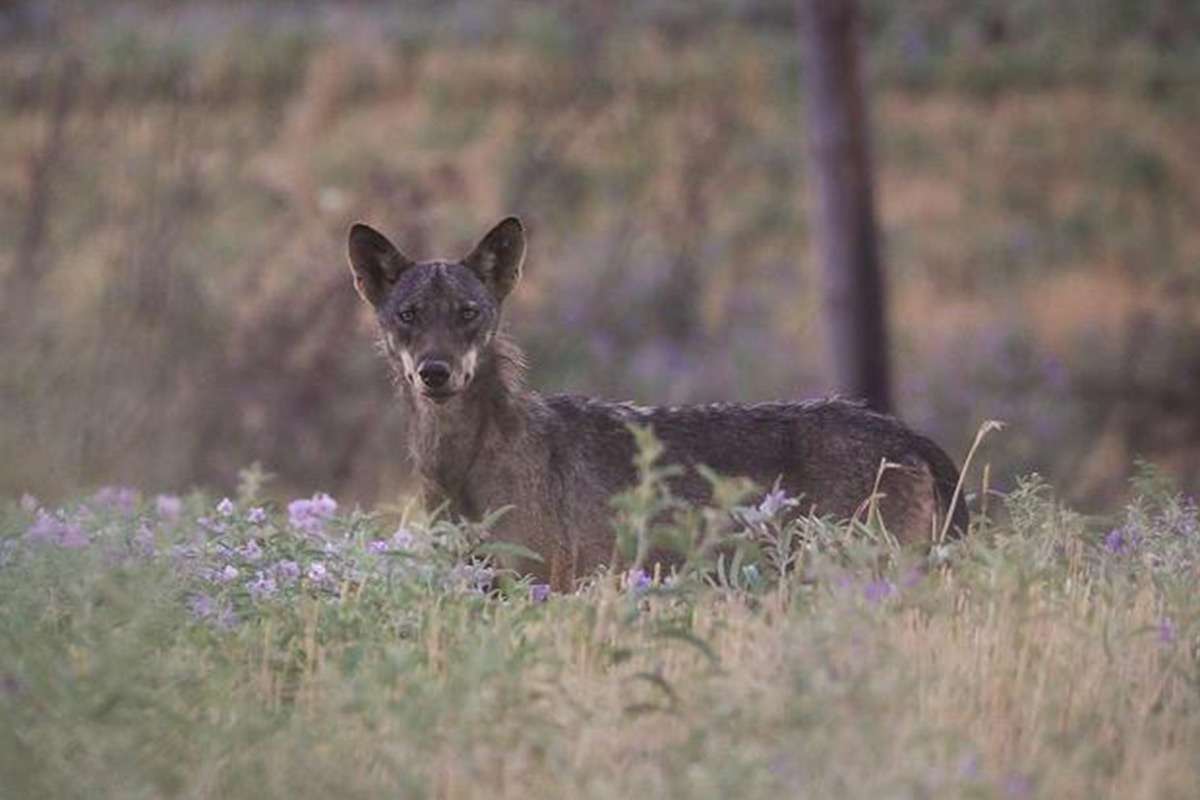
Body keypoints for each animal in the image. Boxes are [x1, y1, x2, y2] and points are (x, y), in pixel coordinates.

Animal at [347, 217, 968, 591]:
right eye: (408, 315)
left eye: (468, 313)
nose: (435, 373)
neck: (461, 466)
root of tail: (907, 434)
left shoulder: (544, 585)